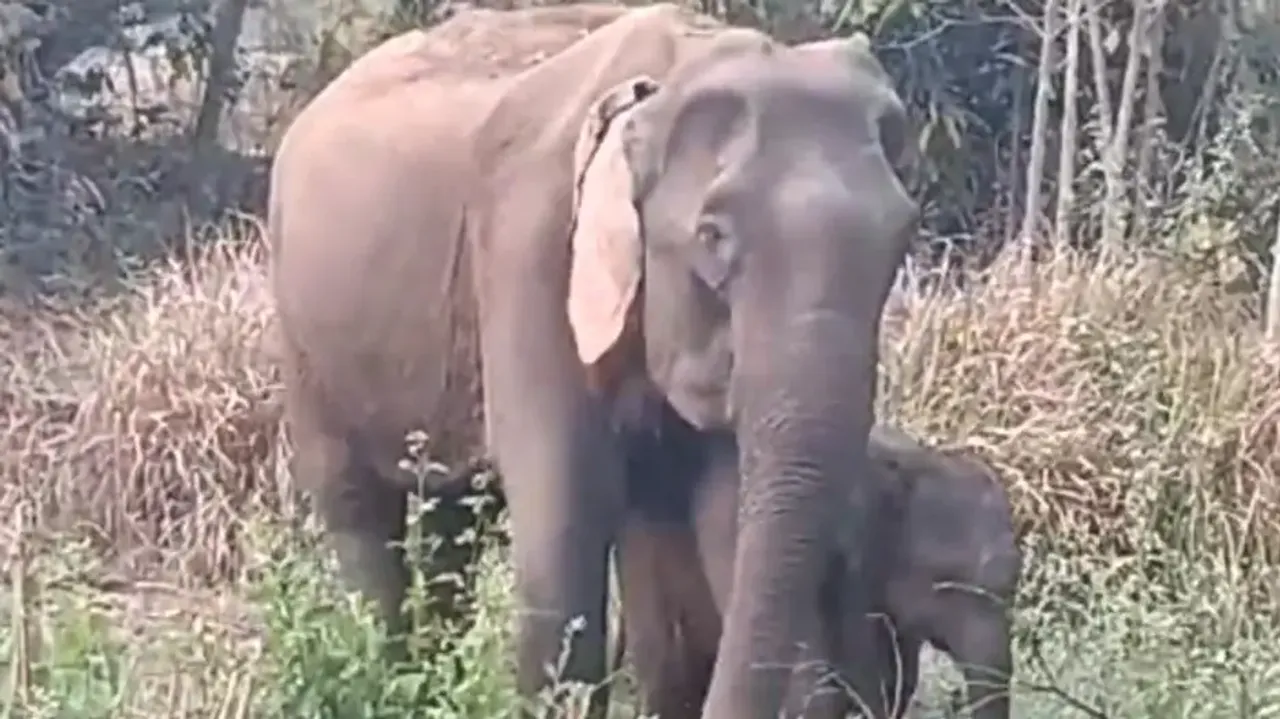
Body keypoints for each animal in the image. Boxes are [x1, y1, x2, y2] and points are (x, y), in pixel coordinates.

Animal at [266, 3, 919, 717]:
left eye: (903, 236)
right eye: (712, 236)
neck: (676, 69)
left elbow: (713, 515)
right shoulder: (532, 253)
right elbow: (568, 519)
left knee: (450, 523)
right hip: (305, 337)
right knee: (359, 511)